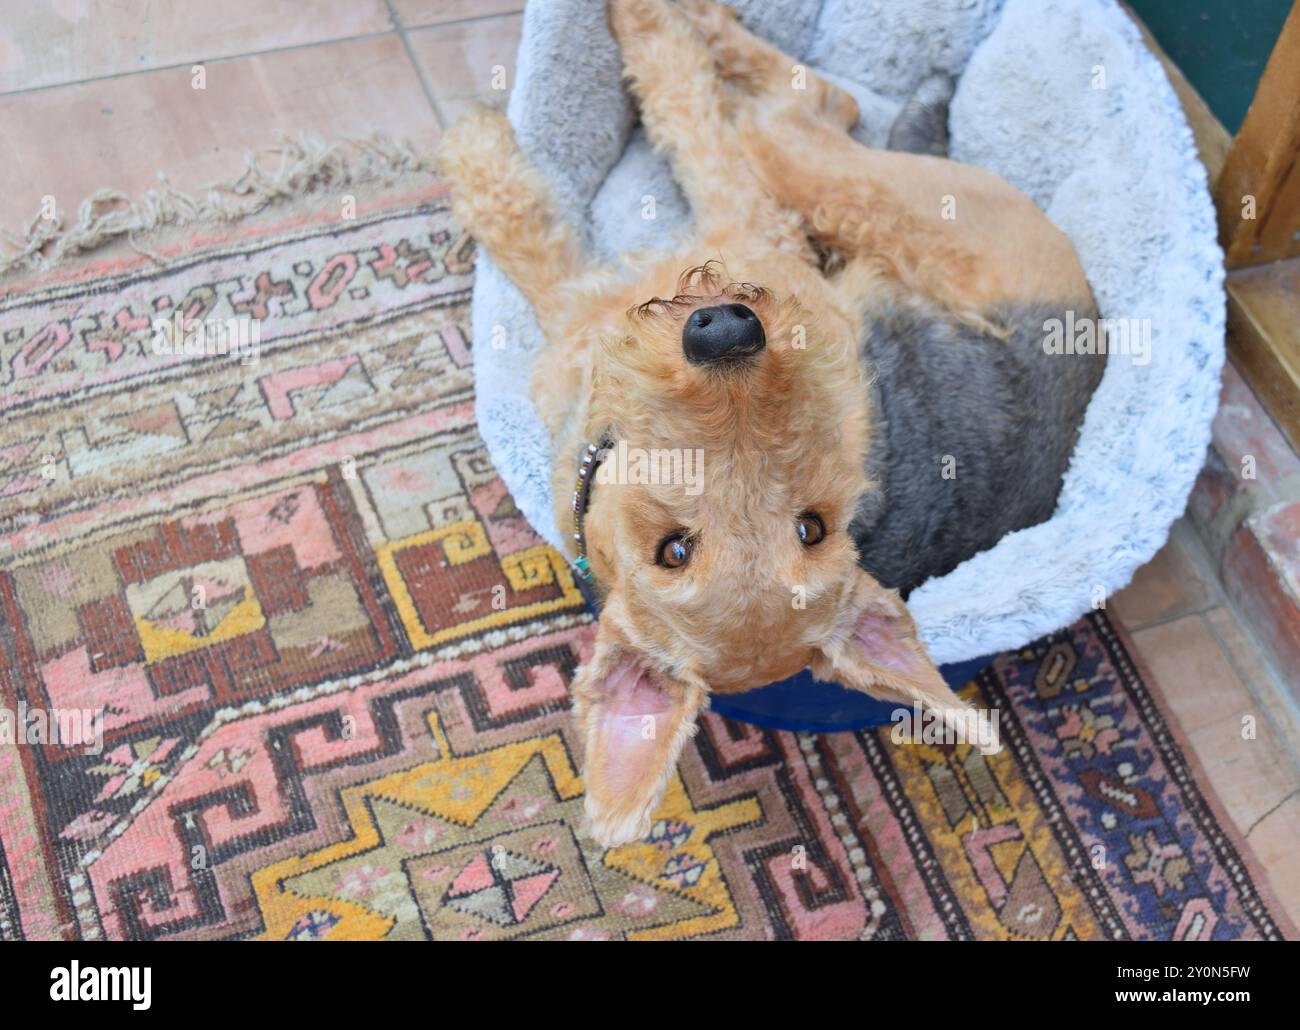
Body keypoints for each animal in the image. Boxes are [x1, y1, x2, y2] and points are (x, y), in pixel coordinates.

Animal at [439, 0, 1097, 842]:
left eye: (812, 526)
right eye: (674, 550)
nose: (725, 331)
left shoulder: (741, 216)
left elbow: (678, 103)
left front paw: (483, 132)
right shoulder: (579, 323)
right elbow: (533, 234)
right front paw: (478, 153)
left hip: (840, 181)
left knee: (794, 106)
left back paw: (690, 20)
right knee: (819, 105)